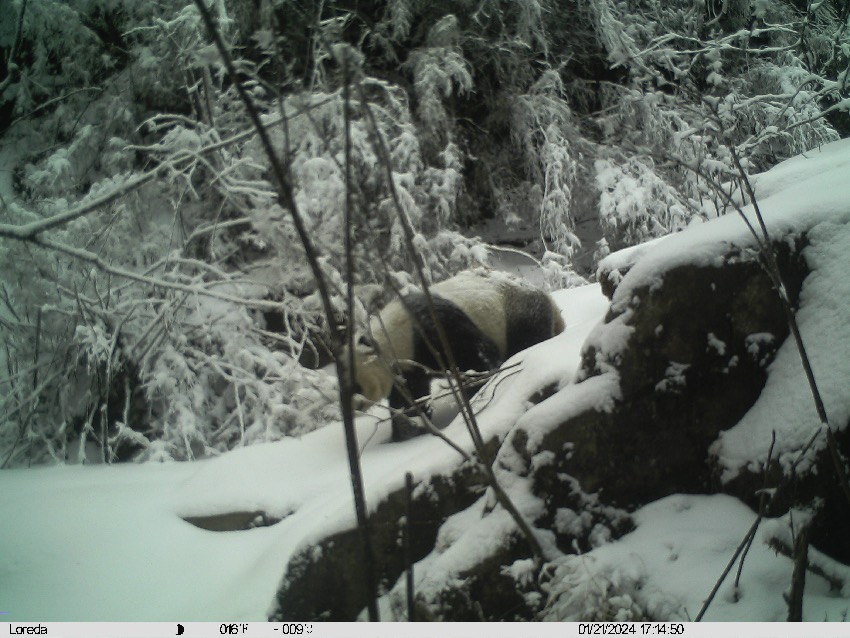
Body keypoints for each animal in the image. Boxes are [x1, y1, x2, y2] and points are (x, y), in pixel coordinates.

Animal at [352, 272, 564, 444]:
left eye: (356, 386)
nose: (355, 407)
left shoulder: (434, 329)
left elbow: (479, 358)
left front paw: (475, 398)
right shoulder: (407, 369)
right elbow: (409, 400)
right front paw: (408, 432)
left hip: (516, 311)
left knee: (527, 339)